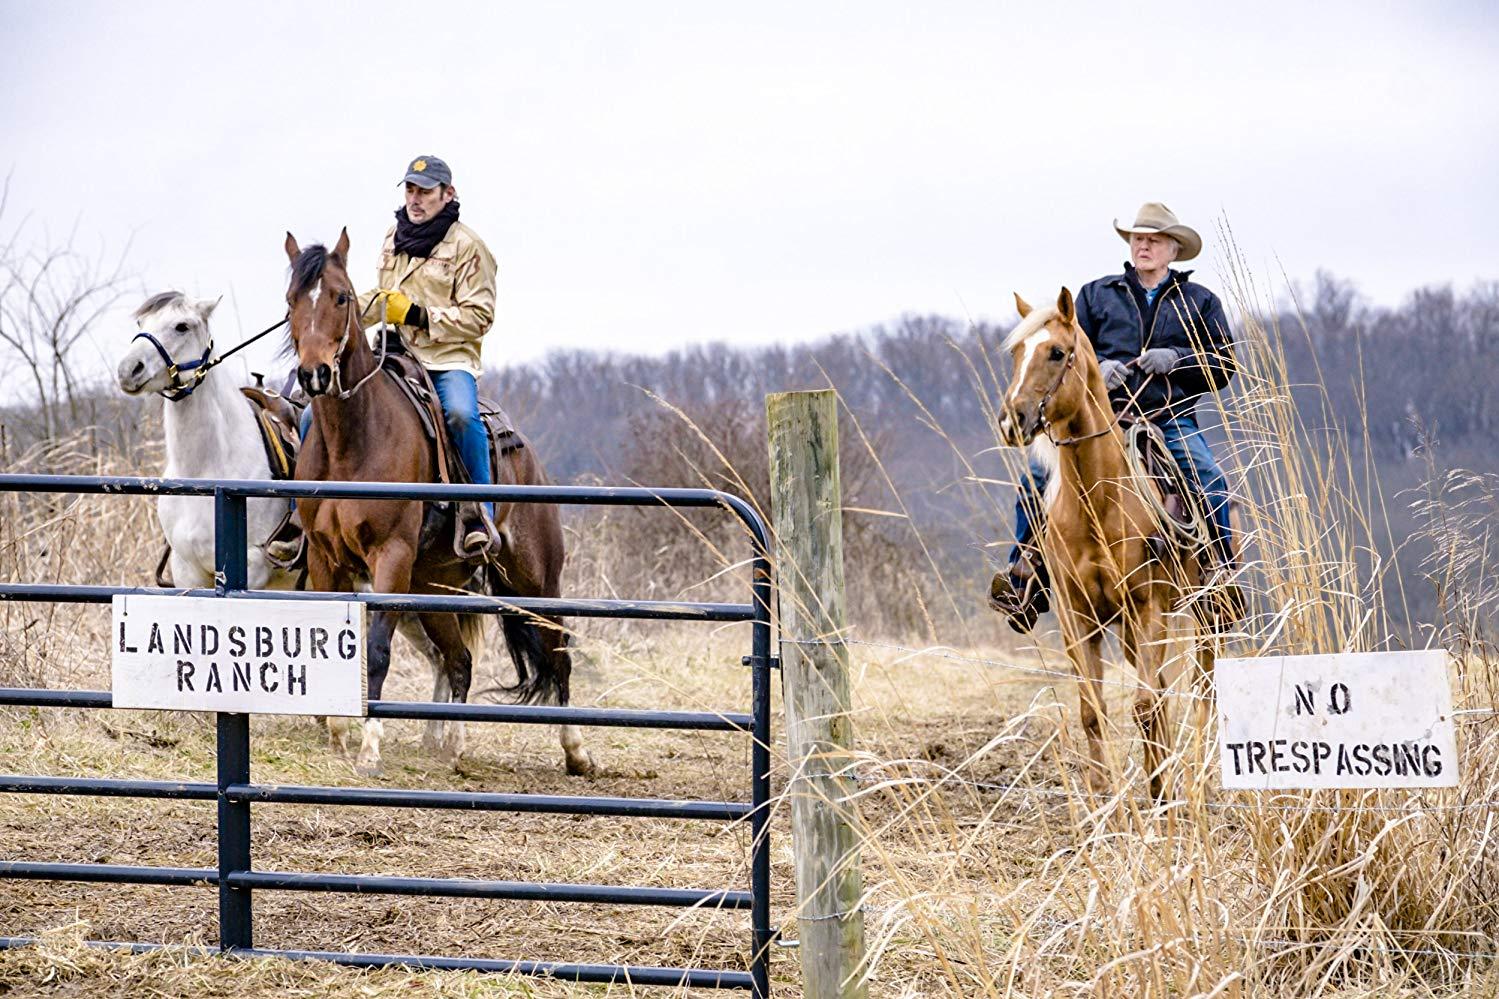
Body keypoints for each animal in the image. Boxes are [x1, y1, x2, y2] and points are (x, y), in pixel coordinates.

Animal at [116, 294, 301, 591]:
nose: (128, 370)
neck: (205, 472)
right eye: (141, 323)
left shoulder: (251, 571)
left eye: (182, 326)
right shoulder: (187, 572)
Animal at [281, 228, 590, 780]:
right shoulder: (323, 558)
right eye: (292, 300)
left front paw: (369, 747)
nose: (314, 374)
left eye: (341, 296)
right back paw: (450, 745)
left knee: (557, 652)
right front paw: (338, 734)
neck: (354, 438)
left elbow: (376, 652)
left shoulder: (391, 558)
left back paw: (576, 750)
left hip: (535, 580)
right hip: (435, 585)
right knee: (460, 660)